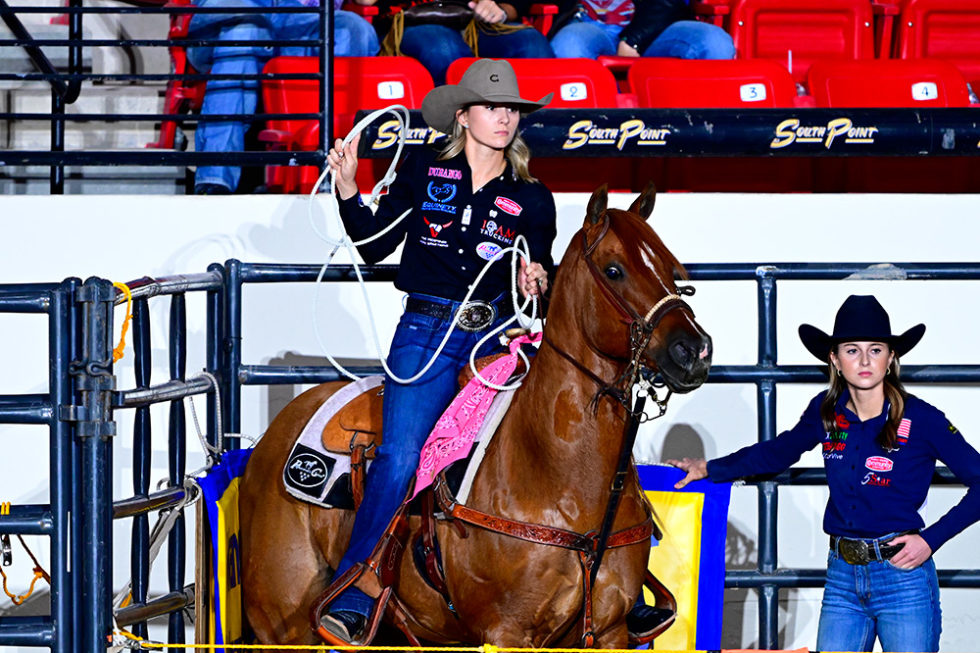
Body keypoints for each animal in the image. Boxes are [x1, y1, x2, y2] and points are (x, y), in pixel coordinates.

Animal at [237, 183, 712, 648]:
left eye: (672, 271)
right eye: (614, 270)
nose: (694, 351)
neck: (560, 473)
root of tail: (272, 435)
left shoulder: (610, 632)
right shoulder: (508, 632)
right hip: (280, 622)